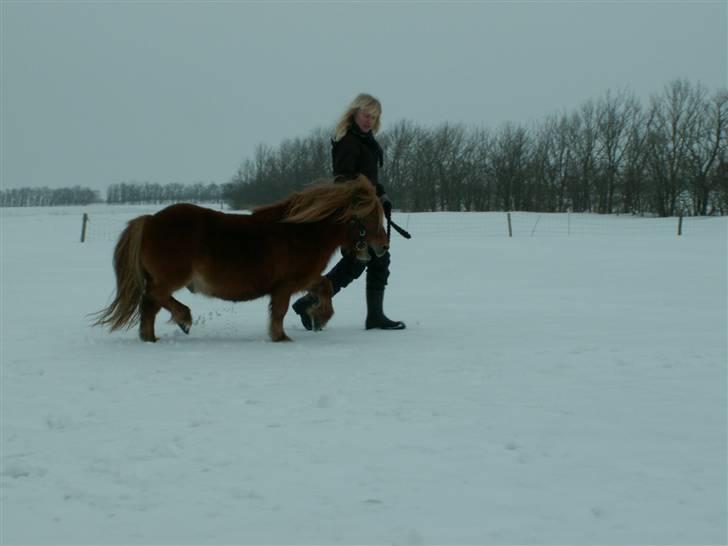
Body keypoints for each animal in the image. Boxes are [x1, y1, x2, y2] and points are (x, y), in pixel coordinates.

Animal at [93, 176, 390, 340]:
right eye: (370, 216)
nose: (383, 247)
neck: (300, 232)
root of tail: (150, 220)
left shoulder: (304, 279)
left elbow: (326, 287)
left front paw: (318, 317)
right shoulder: (284, 286)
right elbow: (279, 311)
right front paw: (281, 337)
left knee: (150, 306)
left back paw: (151, 337)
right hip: (169, 279)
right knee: (153, 297)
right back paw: (183, 319)